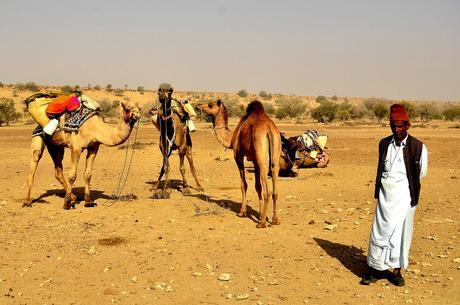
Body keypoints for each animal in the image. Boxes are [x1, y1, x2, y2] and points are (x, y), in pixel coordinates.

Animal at [202, 98, 284, 227]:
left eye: (210, 105)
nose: (199, 107)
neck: (230, 138)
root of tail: (269, 130)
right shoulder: (254, 160)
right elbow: (257, 186)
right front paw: (262, 215)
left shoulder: (238, 156)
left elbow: (243, 184)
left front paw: (242, 212)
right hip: (275, 152)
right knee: (275, 188)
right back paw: (275, 220)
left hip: (262, 155)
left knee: (267, 191)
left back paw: (261, 223)